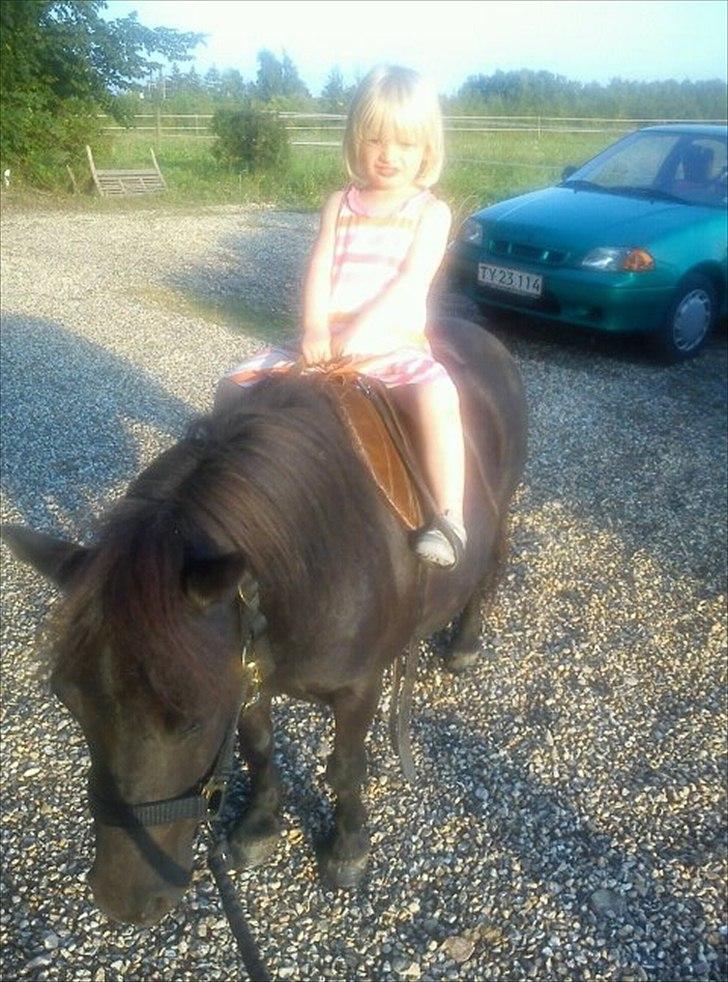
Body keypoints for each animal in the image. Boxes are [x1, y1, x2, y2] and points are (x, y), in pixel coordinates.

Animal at [2, 317, 527, 927]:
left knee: (490, 565)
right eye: (69, 701)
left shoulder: (357, 688)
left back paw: (463, 642)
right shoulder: (245, 664)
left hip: (501, 504)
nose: (123, 901)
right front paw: (258, 826)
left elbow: (346, 767)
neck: (318, 551)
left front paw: (348, 847)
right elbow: (257, 746)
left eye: (191, 722)